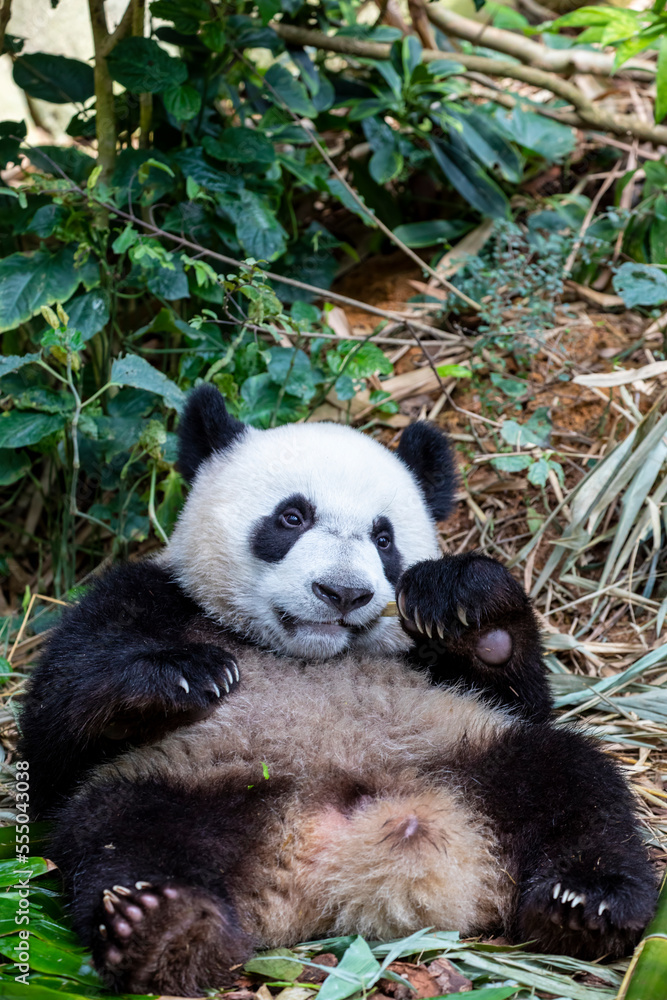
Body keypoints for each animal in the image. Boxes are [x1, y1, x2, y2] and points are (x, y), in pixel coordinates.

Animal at [19, 384, 657, 996]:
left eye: (384, 537)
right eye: (291, 517)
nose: (343, 592)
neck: (307, 650)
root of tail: (342, 868)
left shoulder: (435, 670)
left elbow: (521, 697)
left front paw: (464, 600)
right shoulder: (149, 596)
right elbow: (52, 740)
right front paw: (185, 675)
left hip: (469, 753)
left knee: (573, 781)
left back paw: (586, 904)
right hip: (192, 777)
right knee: (121, 832)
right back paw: (166, 930)